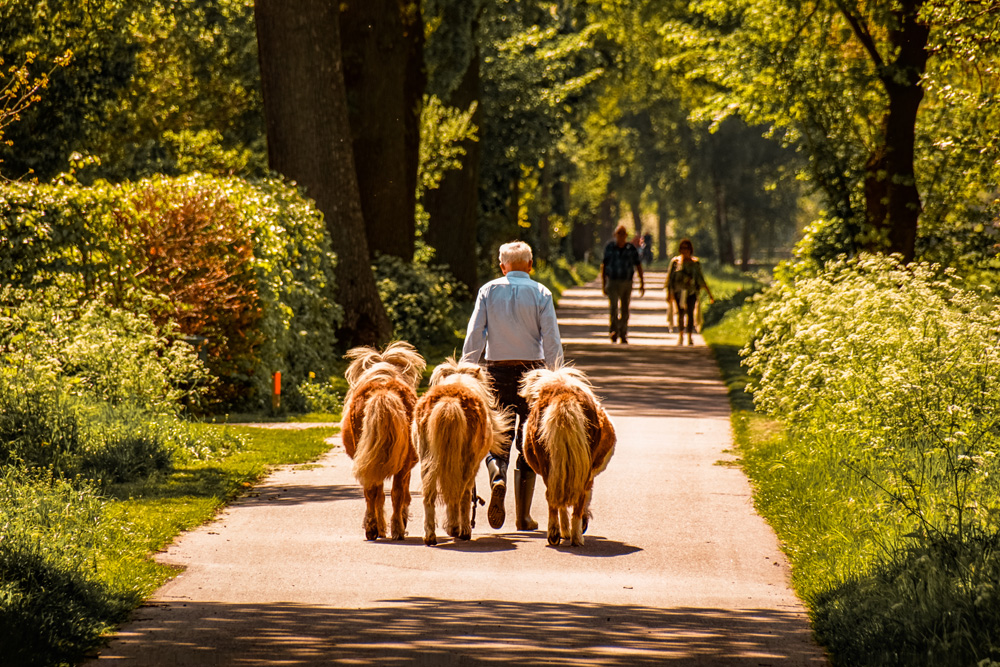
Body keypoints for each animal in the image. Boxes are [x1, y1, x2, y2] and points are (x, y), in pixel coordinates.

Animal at [412, 360, 512, 548]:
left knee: (430, 495)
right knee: (461, 493)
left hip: (427, 461)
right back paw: (461, 530)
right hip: (468, 463)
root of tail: (449, 401)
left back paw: (430, 536)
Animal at [520, 366, 612, 548]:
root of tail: (563, 395)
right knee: (575, 498)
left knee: (553, 495)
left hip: (550, 465)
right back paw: (574, 537)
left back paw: (556, 534)